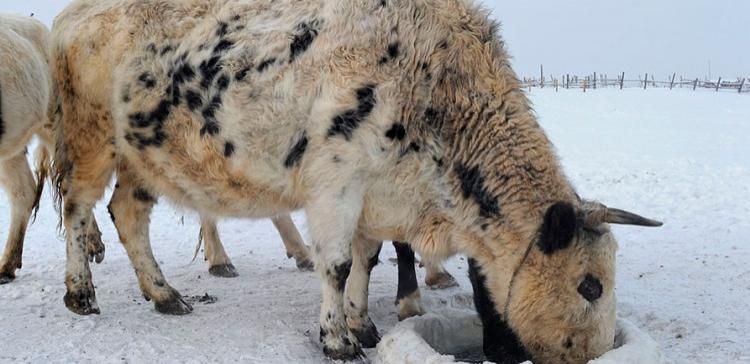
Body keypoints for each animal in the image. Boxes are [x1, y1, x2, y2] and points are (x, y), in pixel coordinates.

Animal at [51, 0, 664, 362]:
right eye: (591, 285)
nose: (598, 352)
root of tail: (72, 15)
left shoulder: (375, 198)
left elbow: (367, 262)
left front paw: (363, 322)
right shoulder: (335, 186)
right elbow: (337, 264)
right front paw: (337, 339)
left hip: (142, 158)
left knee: (129, 215)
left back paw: (165, 295)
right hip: (91, 138)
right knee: (78, 209)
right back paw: (81, 294)